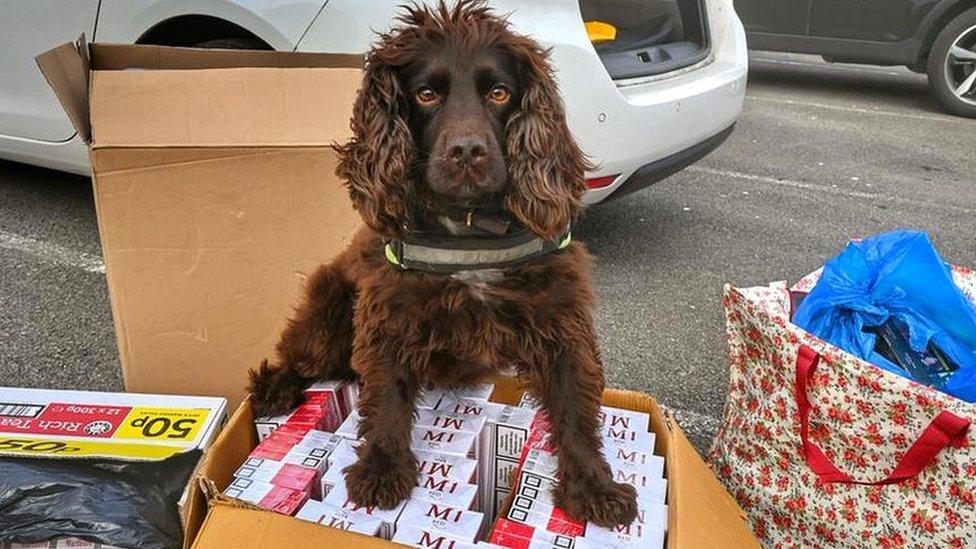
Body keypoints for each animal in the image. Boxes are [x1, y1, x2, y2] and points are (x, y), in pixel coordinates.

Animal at [248, 0, 636, 528]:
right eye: (426, 94)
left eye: (499, 92)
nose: (467, 151)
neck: (469, 230)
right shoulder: (386, 315)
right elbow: (387, 396)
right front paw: (381, 468)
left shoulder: (561, 319)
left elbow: (576, 405)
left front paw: (594, 485)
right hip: (328, 313)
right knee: (299, 355)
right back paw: (275, 387)